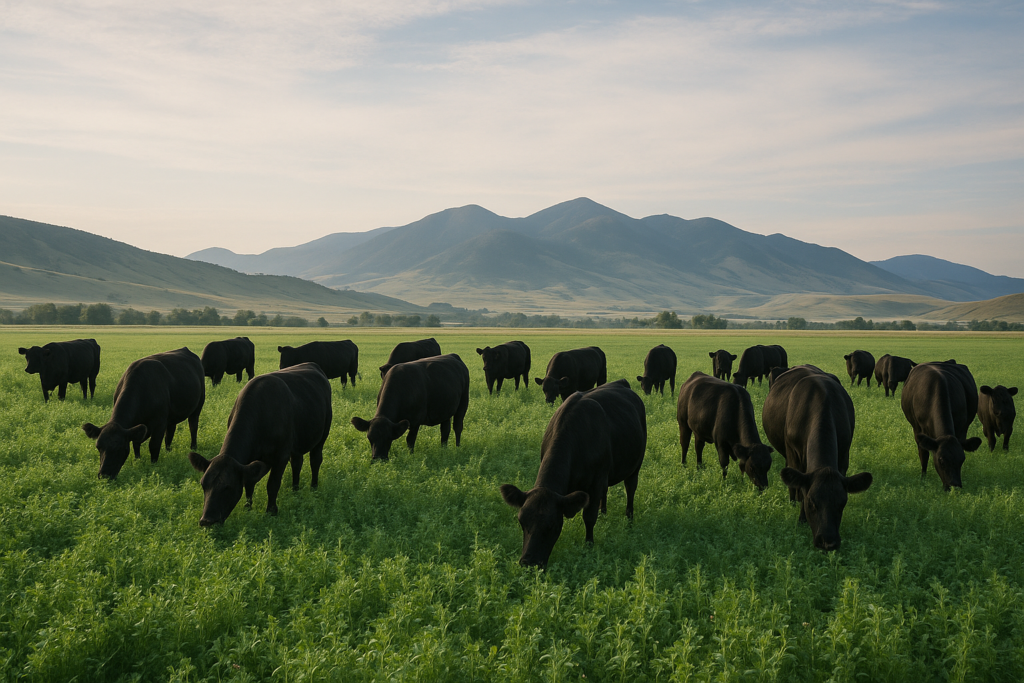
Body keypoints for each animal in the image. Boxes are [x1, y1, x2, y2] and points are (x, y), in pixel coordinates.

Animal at [82, 347, 205, 479]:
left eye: (119, 448)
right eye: (98, 447)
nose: (104, 475)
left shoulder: (160, 423)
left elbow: (154, 445)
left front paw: (153, 465)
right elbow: (136, 443)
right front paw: (138, 460)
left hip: (198, 406)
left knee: (193, 426)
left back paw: (193, 447)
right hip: (173, 415)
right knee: (171, 431)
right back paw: (168, 450)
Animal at [188, 363, 332, 525]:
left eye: (228, 487)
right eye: (203, 484)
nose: (207, 520)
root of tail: (312, 365)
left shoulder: (281, 455)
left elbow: (273, 484)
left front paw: (271, 511)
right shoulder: (252, 460)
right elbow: (249, 483)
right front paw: (248, 507)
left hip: (323, 434)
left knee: (315, 460)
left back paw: (314, 487)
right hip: (297, 444)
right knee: (297, 462)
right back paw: (295, 489)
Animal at [500, 380, 646, 569]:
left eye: (551, 526)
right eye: (521, 522)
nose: (529, 562)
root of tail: (622, 383)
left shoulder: (595, 482)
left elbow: (589, 517)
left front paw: (589, 546)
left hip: (636, 464)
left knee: (630, 488)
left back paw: (629, 520)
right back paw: (604, 512)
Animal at [763, 365, 873, 551]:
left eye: (842, 503)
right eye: (811, 503)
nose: (828, 542)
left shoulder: (844, 456)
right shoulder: (794, 453)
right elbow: (800, 485)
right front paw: (801, 518)